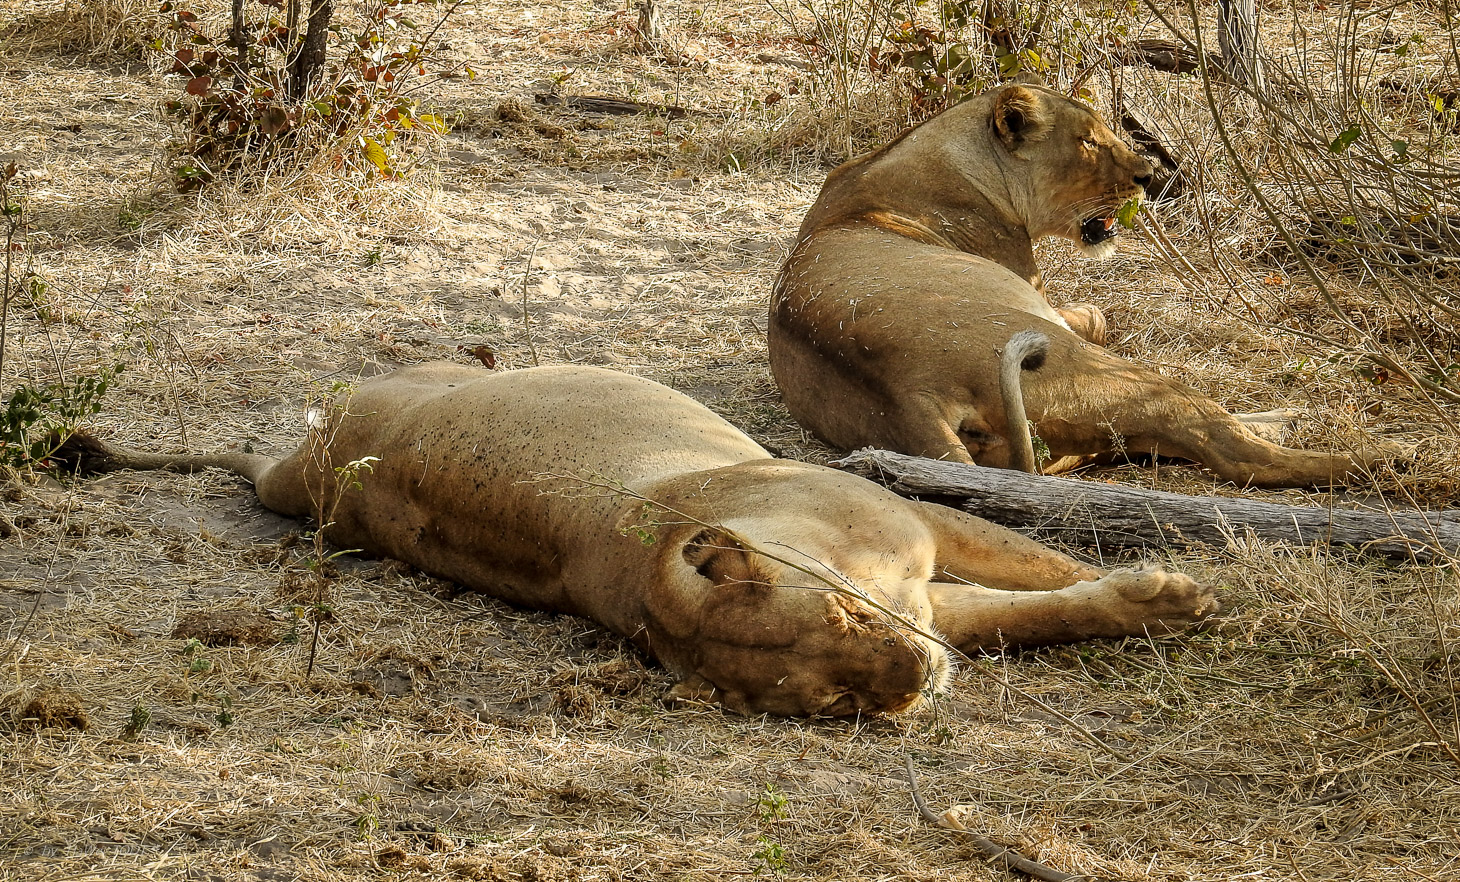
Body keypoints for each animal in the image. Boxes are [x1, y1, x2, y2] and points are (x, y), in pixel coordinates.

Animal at [59, 363, 1217, 717]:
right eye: (830, 701)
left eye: (845, 622)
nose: (910, 686)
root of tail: (317, 461)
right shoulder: (922, 591)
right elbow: (1035, 609)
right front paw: (1176, 598)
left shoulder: (914, 553)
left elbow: (1053, 579)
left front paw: (1177, 596)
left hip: (357, 421)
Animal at [769, 81, 1399, 488]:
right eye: (1090, 142)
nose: (1149, 175)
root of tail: (910, 394)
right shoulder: (1038, 290)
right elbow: (1093, 313)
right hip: (1108, 375)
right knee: (1231, 449)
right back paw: (1376, 457)